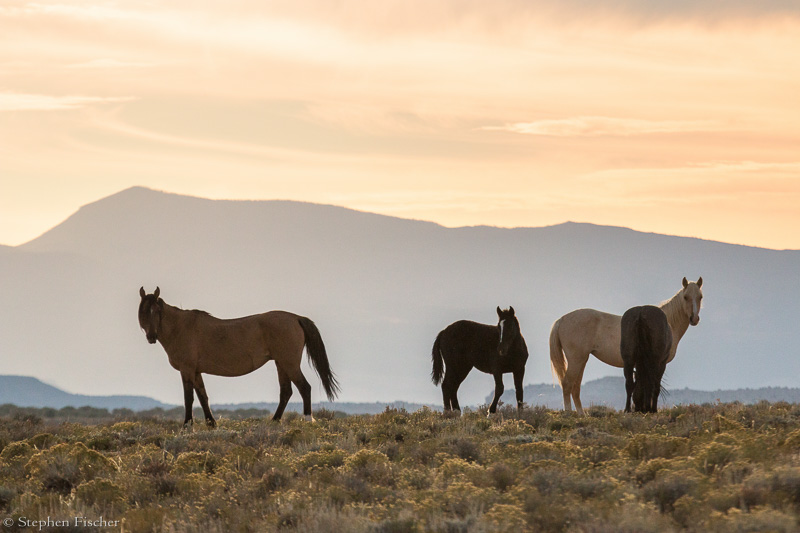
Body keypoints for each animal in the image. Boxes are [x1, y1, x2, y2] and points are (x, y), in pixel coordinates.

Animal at [138, 286, 338, 424]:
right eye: (143, 311)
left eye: (156, 311)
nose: (151, 337)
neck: (180, 327)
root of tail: (296, 318)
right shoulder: (196, 371)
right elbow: (203, 396)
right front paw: (211, 424)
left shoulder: (187, 370)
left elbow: (189, 398)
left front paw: (187, 425)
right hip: (281, 364)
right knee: (286, 391)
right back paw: (274, 421)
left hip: (289, 363)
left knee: (304, 388)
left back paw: (307, 420)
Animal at [548, 276, 704, 414]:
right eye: (686, 297)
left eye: (700, 297)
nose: (694, 319)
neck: (668, 322)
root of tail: (562, 319)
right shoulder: (660, 362)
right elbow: (653, 385)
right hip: (576, 360)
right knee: (567, 383)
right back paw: (569, 413)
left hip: (581, 360)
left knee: (575, 387)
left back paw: (581, 414)